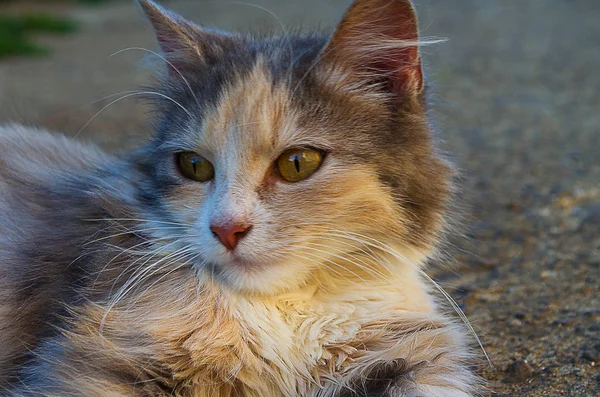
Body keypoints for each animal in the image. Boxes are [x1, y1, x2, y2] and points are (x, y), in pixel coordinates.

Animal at [0, 0, 482, 394]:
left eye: (297, 163)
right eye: (194, 166)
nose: (226, 228)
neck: (283, 311)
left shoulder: (409, 348)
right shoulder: (98, 352)